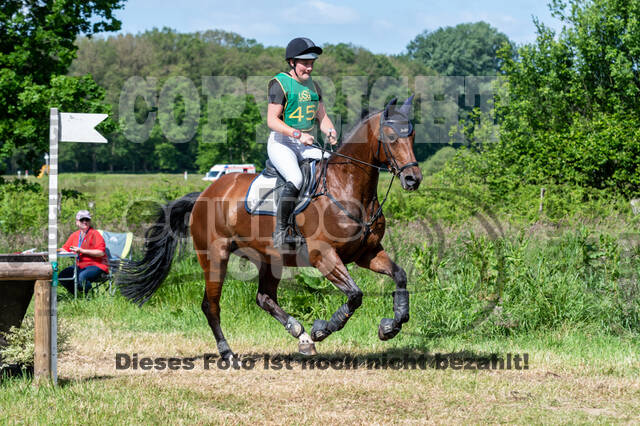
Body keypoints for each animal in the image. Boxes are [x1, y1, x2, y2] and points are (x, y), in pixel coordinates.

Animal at [116, 96, 423, 358]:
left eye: (412, 136)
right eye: (391, 137)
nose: (412, 179)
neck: (347, 188)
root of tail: (203, 194)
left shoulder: (366, 253)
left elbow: (400, 276)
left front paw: (391, 326)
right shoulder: (323, 256)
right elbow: (355, 295)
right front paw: (322, 329)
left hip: (269, 258)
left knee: (264, 298)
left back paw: (300, 334)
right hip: (215, 256)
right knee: (211, 305)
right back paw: (229, 353)